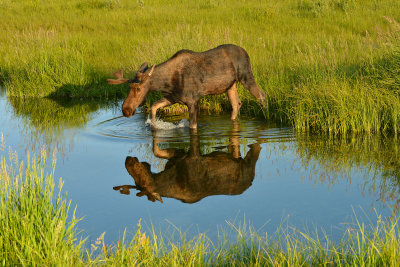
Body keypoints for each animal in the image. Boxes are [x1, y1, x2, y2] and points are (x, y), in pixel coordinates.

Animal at [108, 44, 268, 130]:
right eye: (129, 87)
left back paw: (266, 117)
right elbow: (153, 106)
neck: (167, 84)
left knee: (262, 95)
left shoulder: (193, 101)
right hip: (230, 85)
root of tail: (246, 52)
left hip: (246, 76)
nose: (126, 109)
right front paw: (154, 126)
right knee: (237, 104)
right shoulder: (172, 98)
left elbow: (192, 126)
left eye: (138, 89)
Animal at [113, 126, 262, 204]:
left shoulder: (192, 154)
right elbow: (159, 152)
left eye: (142, 182)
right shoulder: (177, 155)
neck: (167, 177)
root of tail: (250, 182)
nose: (128, 160)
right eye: (135, 182)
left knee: (256, 148)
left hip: (249, 163)